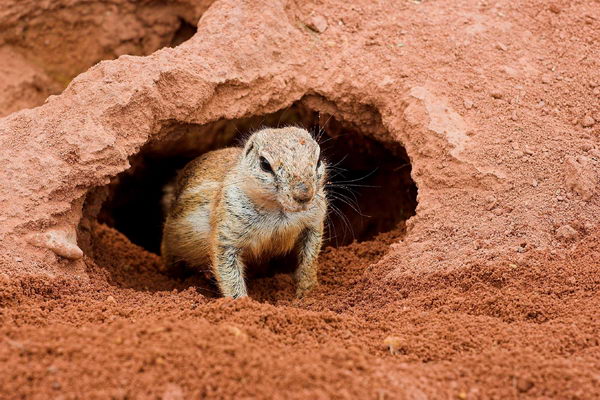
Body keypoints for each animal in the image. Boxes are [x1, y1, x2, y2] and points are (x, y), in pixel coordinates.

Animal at [161, 126, 328, 298]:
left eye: (319, 160)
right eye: (264, 164)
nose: (304, 195)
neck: (279, 209)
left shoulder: (313, 223)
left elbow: (309, 260)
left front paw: (307, 292)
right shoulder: (227, 234)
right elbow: (229, 274)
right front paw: (242, 301)